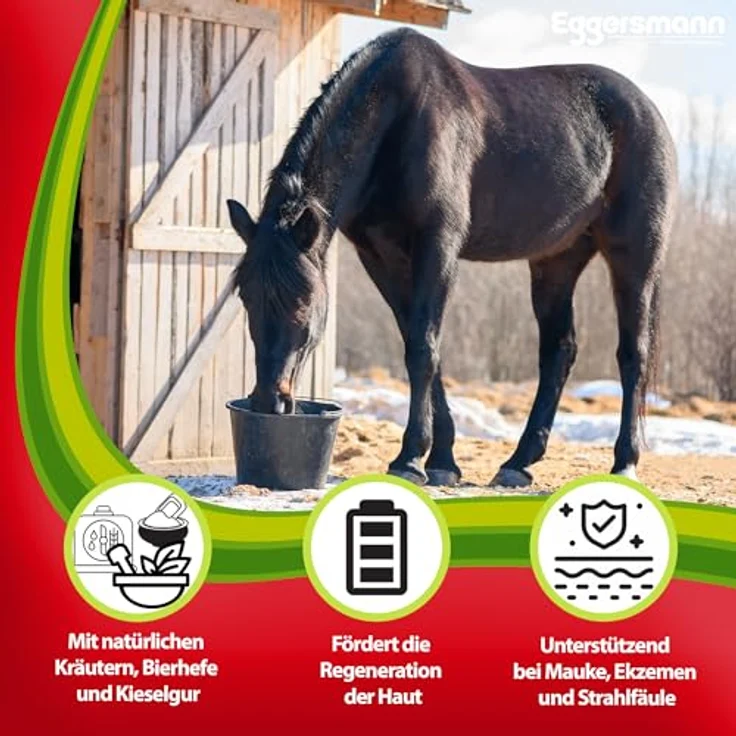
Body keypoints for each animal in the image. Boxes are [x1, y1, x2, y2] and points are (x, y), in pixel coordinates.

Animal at [226, 27, 677, 488]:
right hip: (557, 261)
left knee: (633, 353)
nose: (269, 402)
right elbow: (423, 347)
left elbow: (423, 349)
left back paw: (624, 462)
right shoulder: (382, 258)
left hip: (634, 256)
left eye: (303, 302)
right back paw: (518, 463)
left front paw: (409, 459)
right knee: (559, 351)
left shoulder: (438, 246)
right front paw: (442, 460)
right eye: (246, 298)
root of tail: (647, 110)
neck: (395, 118)